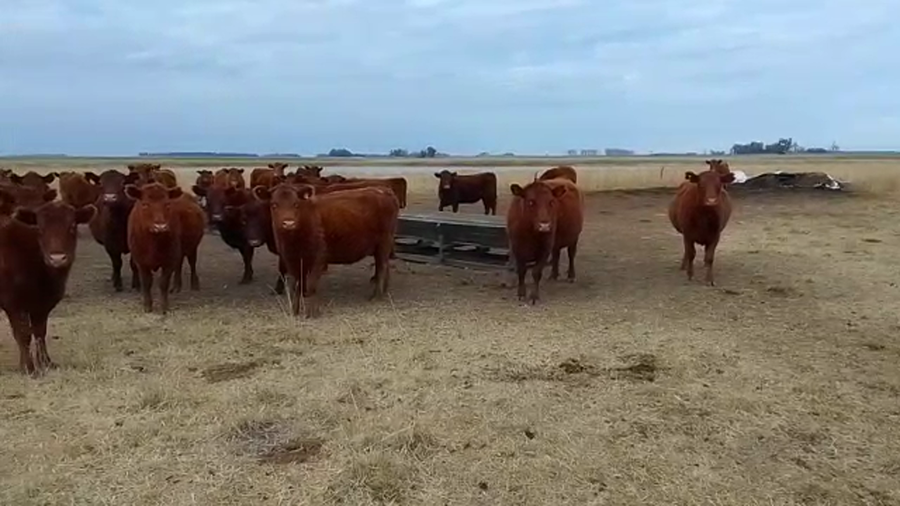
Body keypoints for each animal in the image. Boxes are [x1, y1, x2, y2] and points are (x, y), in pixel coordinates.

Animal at [0, 191, 96, 375]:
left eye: (72, 226)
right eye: (40, 228)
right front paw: (28, 368)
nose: (57, 258)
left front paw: (46, 363)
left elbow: (39, 332)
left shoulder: (42, 305)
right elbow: (23, 334)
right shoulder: (13, 303)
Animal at [126, 183, 204, 314]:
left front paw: (164, 307)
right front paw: (147, 306)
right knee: (179, 265)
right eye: (145, 204)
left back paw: (194, 284)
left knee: (192, 263)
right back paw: (176, 286)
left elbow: (163, 283)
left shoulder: (169, 260)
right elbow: (146, 282)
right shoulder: (141, 261)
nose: (160, 226)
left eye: (167, 204)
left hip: (192, 247)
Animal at [252, 184, 399, 318]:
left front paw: (312, 313)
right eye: (274, 205)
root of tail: (384, 190)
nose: (288, 223)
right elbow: (297, 285)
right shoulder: (292, 260)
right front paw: (294, 311)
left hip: (384, 243)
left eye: (296, 204)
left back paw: (376, 296)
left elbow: (311, 285)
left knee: (382, 267)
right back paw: (383, 291)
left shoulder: (318, 258)